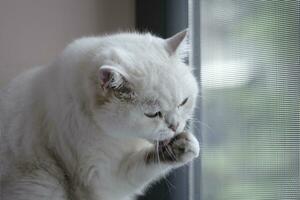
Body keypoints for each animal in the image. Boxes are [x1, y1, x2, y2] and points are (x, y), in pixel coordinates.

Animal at [0, 30, 202, 200]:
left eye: (183, 102)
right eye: (152, 114)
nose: (175, 126)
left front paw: (184, 144)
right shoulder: (102, 181)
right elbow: (145, 165)